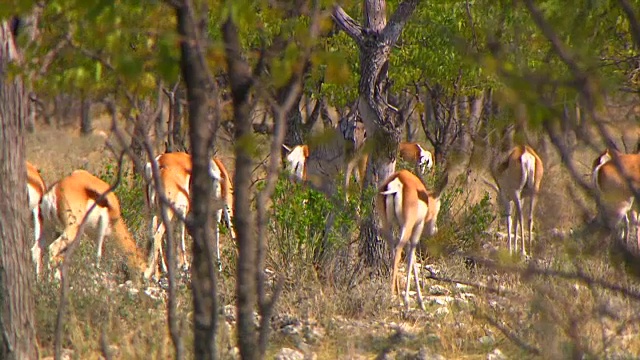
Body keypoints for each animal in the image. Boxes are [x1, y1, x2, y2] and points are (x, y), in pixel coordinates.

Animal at [376, 169, 450, 310]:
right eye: (439, 207)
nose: (434, 230)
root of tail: (397, 180)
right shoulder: (418, 227)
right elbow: (412, 257)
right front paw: (416, 302)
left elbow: (413, 258)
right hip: (407, 225)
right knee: (398, 251)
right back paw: (397, 299)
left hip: (388, 224)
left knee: (393, 251)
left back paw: (396, 296)